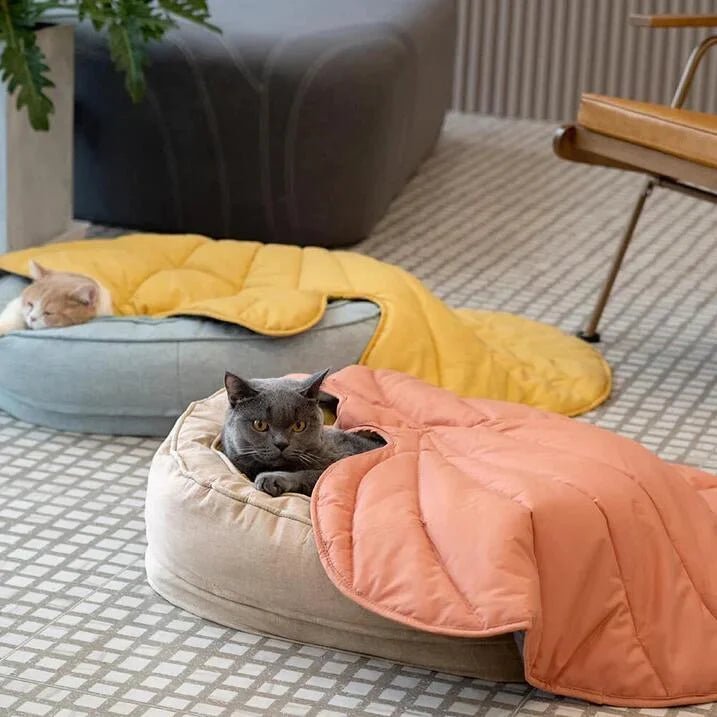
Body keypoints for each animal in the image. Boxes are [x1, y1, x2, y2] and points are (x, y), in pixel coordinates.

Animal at [221, 366, 384, 496]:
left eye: (299, 425)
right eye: (259, 424)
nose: (281, 444)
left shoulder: (341, 462)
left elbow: (314, 475)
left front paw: (272, 478)